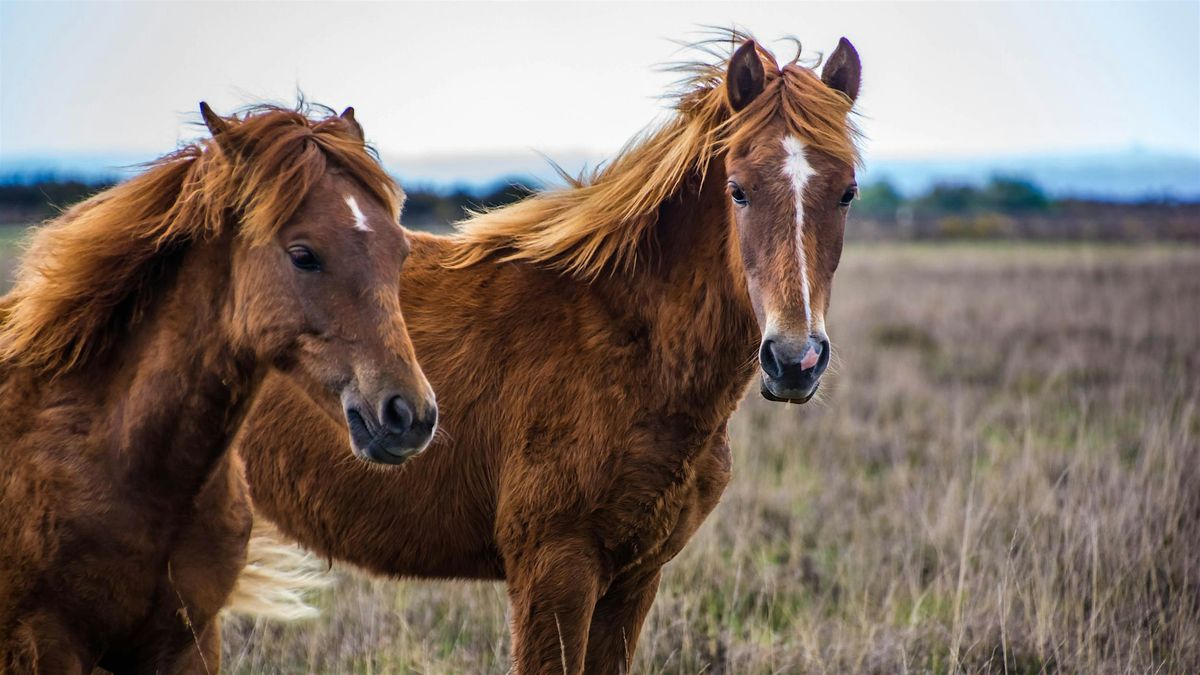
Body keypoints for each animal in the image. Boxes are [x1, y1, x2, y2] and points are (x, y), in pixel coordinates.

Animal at [236, 32, 862, 673]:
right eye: (738, 190)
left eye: (847, 192)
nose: (794, 359)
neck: (630, 344)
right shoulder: (555, 570)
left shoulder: (635, 579)